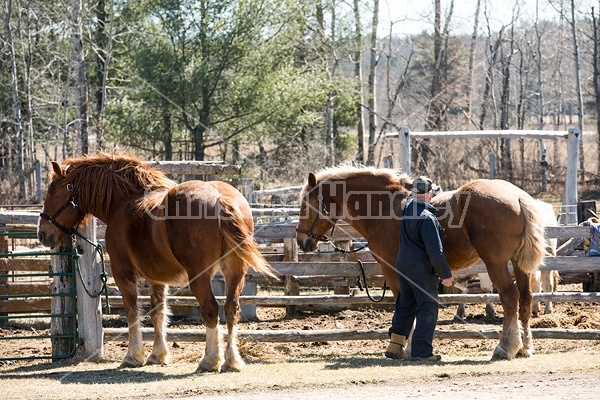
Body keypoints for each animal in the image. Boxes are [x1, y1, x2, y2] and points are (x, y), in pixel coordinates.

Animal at [35, 152, 274, 372]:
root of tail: (220, 198)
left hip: (199, 276)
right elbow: (158, 311)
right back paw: (231, 361)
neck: (123, 202)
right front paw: (158, 355)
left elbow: (133, 311)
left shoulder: (123, 272)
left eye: (52, 192)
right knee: (232, 308)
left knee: (211, 309)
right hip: (235, 270)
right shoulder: (158, 277)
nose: (42, 234)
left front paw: (133, 356)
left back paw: (209, 360)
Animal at [296, 166, 548, 360]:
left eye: (306, 205)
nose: (302, 241)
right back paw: (525, 347)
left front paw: (403, 347)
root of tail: (518, 197)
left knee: (510, 297)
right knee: (526, 298)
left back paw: (505, 347)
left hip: (495, 263)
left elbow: (404, 303)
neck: (383, 207)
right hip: (518, 264)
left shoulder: (392, 268)